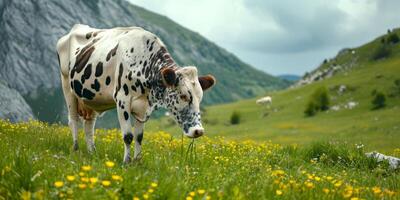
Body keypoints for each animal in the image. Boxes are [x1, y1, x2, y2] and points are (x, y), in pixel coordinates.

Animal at [56, 24, 216, 163]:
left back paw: (92, 153)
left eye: (200, 98)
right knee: (73, 120)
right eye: (183, 95)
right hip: (67, 87)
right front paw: (126, 162)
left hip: (92, 98)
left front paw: (138, 161)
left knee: (89, 125)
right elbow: (128, 136)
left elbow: (139, 136)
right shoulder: (122, 100)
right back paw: (75, 150)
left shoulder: (143, 107)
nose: (198, 131)